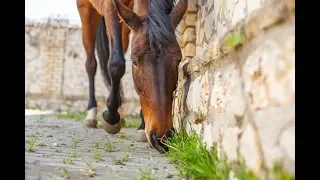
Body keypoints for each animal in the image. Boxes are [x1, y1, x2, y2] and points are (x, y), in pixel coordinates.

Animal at [77, 0, 188, 153]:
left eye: (178, 60)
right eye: (135, 62)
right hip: (86, 10)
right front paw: (110, 117)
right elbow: (116, 64)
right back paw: (92, 113)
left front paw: (141, 126)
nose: (161, 137)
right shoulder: (110, 7)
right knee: (91, 64)